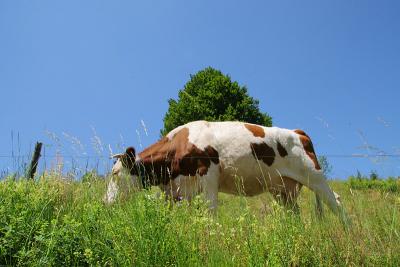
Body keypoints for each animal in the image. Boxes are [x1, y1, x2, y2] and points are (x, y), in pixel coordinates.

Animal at [106, 122, 346, 222]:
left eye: (115, 174)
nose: (105, 203)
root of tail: (297, 132)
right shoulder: (180, 190)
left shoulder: (209, 176)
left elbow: (211, 213)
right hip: (283, 190)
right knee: (294, 214)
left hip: (314, 176)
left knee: (336, 202)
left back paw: (349, 231)